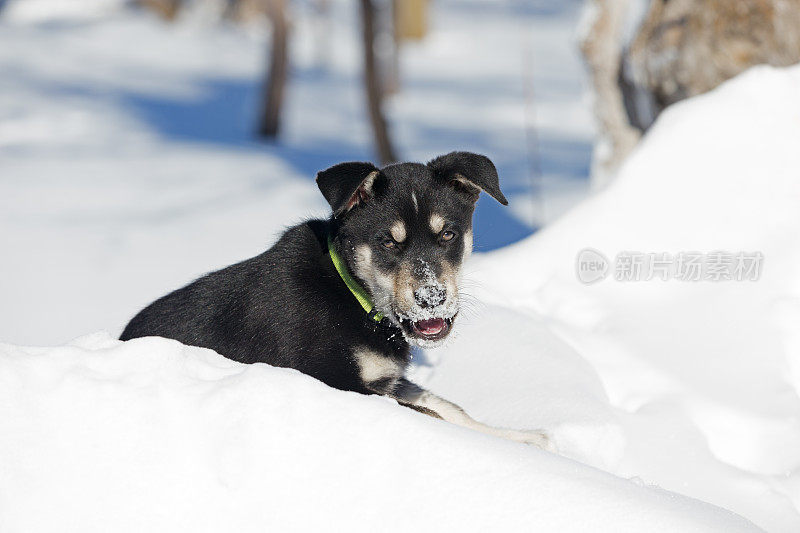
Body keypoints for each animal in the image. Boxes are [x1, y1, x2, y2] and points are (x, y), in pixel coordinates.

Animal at [120, 152, 552, 446]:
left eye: (448, 234)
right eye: (387, 242)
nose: (432, 297)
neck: (352, 295)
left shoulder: (386, 378)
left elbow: (447, 407)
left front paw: (521, 439)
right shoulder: (331, 380)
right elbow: (431, 412)